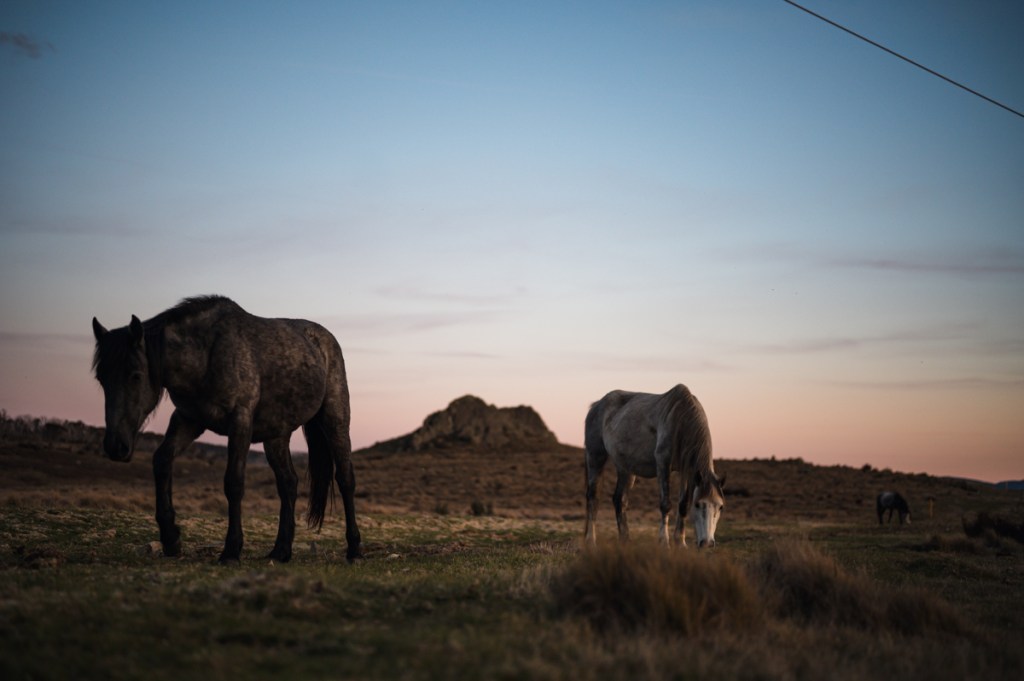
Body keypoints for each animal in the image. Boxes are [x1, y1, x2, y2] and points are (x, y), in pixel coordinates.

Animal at [92, 295, 362, 564]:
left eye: (135, 375)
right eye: (101, 378)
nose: (115, 446)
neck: (206, 354)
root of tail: (324, 339)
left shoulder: (239, 421)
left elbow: (233, 482)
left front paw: (231, 550)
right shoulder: (188, 419)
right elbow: (162, 460)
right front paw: (171, 539)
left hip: (335, 421)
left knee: (345, 479)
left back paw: (354, 550)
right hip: (276, 436)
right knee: (288, 483)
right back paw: (281, 551)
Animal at [584, 384, 725, 548]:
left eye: (720, 506)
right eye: (697, 505)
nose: (707, 543)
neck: (680, 419)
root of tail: (596, 406)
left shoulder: (687, 471)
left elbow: (683, 505)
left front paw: (681, 543)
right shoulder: (663, 463)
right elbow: (666, 504)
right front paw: (664, 542)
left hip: (625, 468)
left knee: (620, 500)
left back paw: (625, 541)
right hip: (595, 457)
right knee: (593, 498)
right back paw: (590, 541)